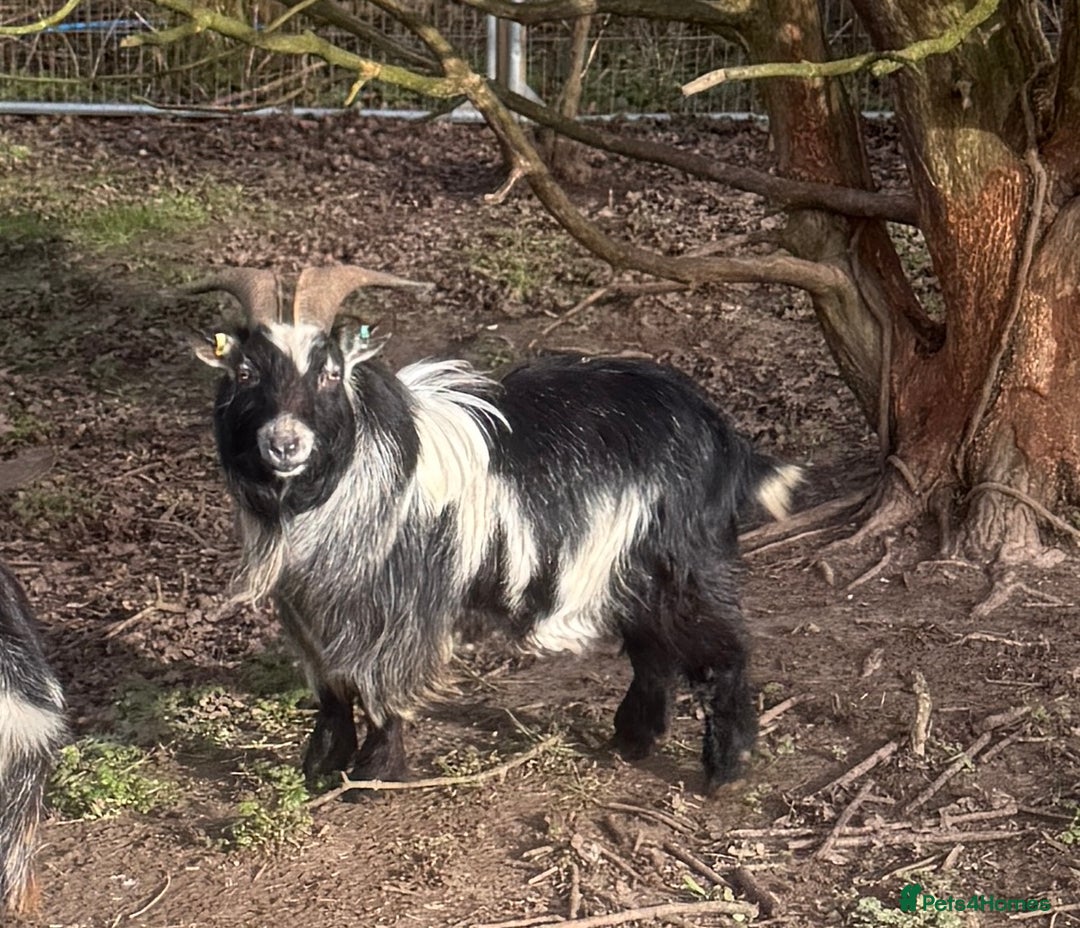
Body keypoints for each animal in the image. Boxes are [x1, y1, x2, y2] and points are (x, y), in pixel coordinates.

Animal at [193, 265, 801, 794]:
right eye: (244, 372)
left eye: (330, 373)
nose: (285, 442)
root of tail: (720, 431)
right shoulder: (310, 604)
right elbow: (332, 686)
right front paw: (321, 767)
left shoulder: (399, 605)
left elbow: (382, 687)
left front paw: (372, 776)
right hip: (626, 566)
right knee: (653, 648)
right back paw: (631, 741)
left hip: (685, 560)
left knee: (723, 648)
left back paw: (727, 768)